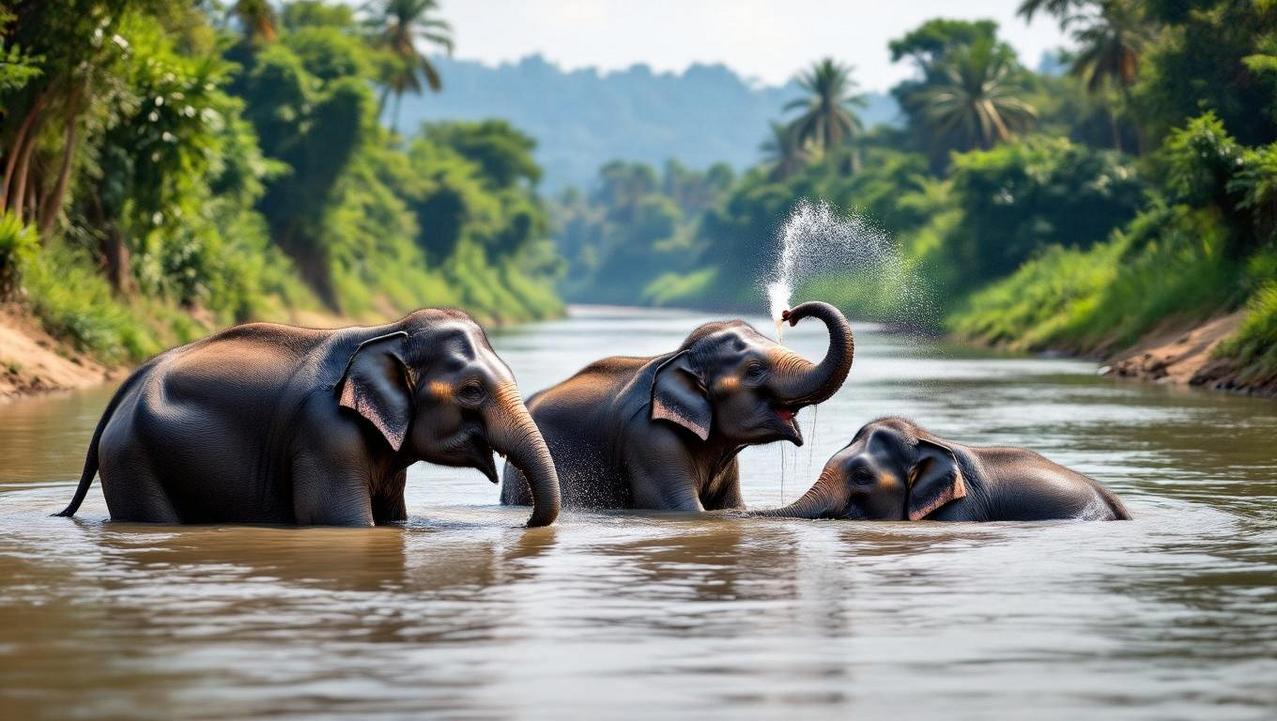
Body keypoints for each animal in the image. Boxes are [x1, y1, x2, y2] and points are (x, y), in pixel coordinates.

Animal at [55, 309, 560, 527]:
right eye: (471, 390)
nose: (523, 525)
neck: (386, 331)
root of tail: (125, 387)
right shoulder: (324, 435)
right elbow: (343, 524)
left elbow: (393, 519)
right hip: (132, 458)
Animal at [500, 301, 854, 512]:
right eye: (754, 371)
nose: (788, 314)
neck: (677, 356)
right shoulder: (649, 439)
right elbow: (684, 510)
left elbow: (731, 508)